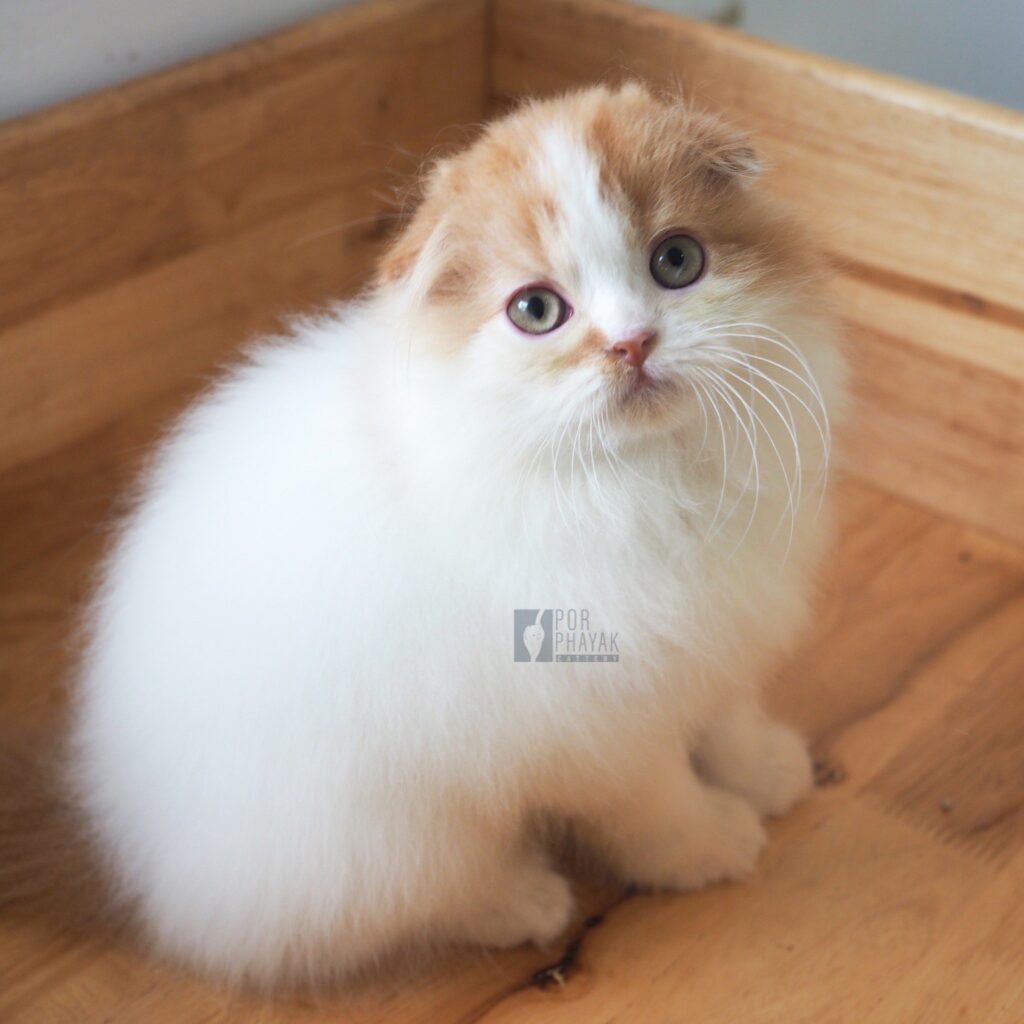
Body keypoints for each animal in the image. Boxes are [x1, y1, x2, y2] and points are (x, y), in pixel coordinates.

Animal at [66, 86, 847, 983]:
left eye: (677, 262)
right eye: (536, 311)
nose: (632, 343)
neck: (633, 481)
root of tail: (157, 877)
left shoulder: (707, 647)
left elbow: (725, 721)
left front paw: (770, 771)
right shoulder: (605, 730)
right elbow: (658, 803)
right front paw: (714, 844)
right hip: (393, 835)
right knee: (417, 904)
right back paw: (526, 901)